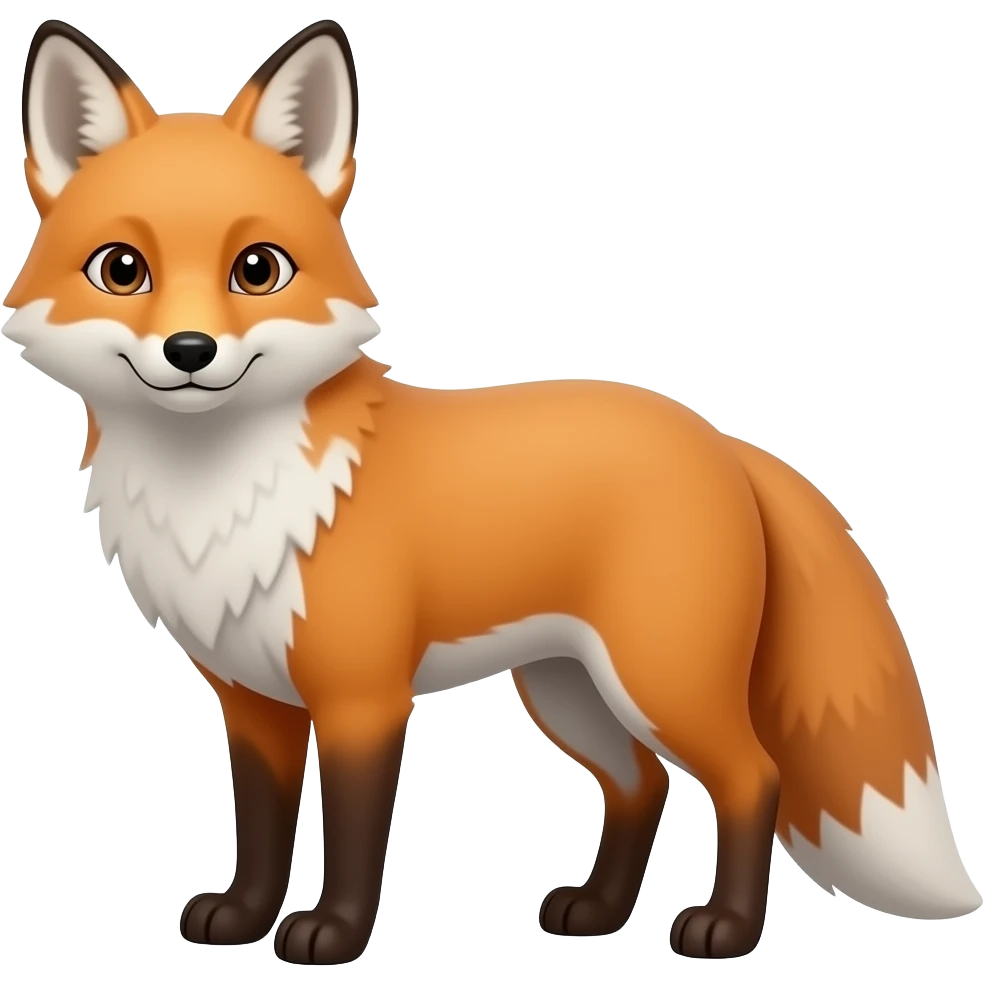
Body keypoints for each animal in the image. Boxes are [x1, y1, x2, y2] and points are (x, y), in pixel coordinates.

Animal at [2, 16, 980, 966]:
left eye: (257, 269)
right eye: (122, 269)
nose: (191, 351)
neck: (222, 495)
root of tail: (719, 438)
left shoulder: (363, 697)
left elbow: (354, 833)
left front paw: (332, 935)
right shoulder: (253, 700)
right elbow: (261, 829)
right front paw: (242, 917)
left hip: (660, 678)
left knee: (752, 776)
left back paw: (725, 930)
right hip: (567, 688)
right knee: (641, 783)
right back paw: (595, 911)